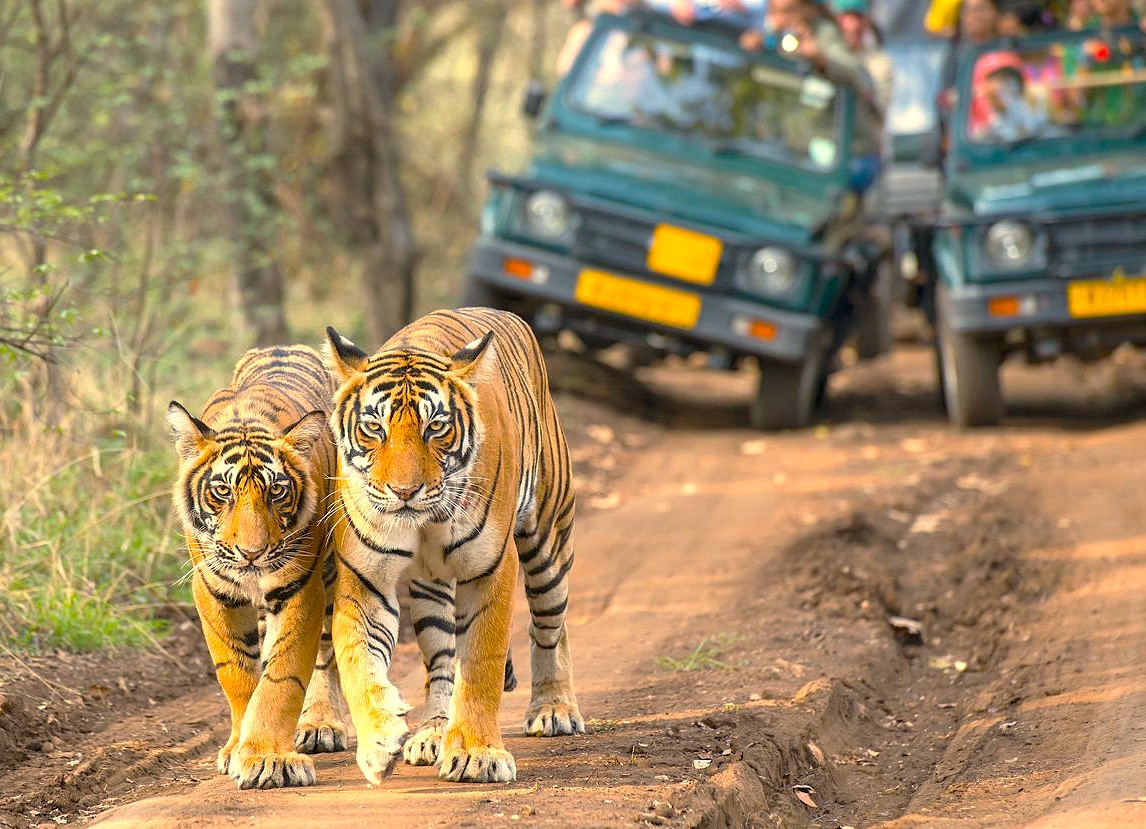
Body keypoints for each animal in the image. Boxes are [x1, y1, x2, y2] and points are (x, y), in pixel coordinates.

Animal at [167, 345, 347, 790]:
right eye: (222, 491)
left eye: (277, 491)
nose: (251, 553)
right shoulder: (214, 590)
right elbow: (237, 673)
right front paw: (239, 750)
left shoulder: (301, 587)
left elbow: (283, 676)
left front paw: (269, 757)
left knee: (324, 651)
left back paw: (320, 725)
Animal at [324, 307, 584, 785]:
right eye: (374, 427)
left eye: (436, 427)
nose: (404, 492)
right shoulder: (366, 581)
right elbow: (357, 660)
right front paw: (380, 744)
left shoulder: (490, 570)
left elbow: (480, 665)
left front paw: (476, 755)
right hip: (431, 588)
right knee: (443, 660)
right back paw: (432, 733)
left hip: (548, 541)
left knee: (549, 627)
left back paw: (554, 709)